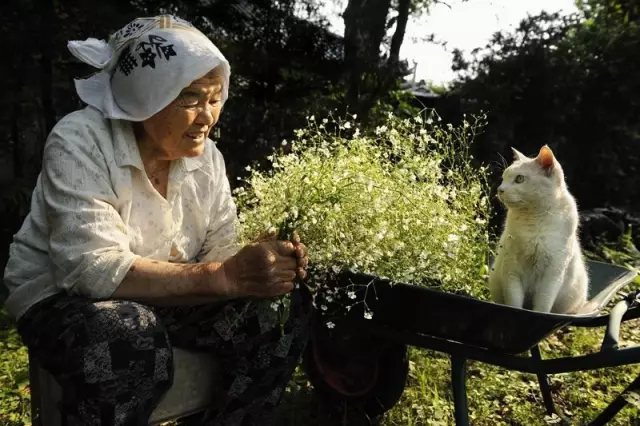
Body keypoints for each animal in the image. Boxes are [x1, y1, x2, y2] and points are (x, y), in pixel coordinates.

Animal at [490, 145, 592, 314]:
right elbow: (514, 302)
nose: (500, 189)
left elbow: (543, 304)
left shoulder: (553, 272)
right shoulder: (511, 269)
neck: (534, 220)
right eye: (503, 178)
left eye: (519, 179)